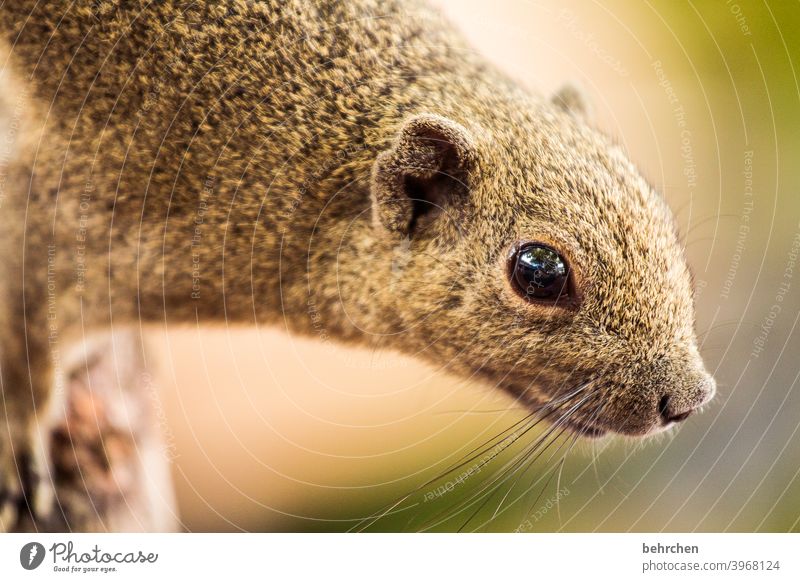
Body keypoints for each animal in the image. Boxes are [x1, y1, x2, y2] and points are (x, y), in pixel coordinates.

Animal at [0, 0, 712, 532]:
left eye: (662, 217)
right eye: (539, 271)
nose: (689, 397)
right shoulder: (59, 209)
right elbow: (24, 343)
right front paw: (19, 447)